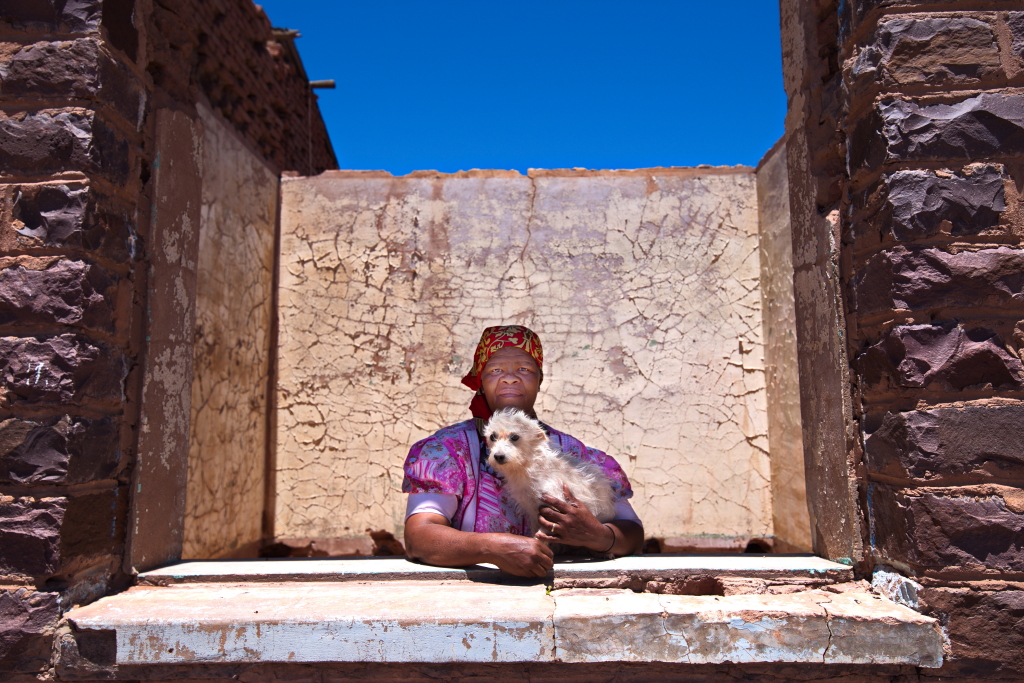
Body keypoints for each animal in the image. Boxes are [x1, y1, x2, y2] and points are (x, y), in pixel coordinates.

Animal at [483, 408, 616, 535]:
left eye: (515, 437)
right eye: (492, 437)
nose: (498, 456)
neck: (528, 468)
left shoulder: (556, 500)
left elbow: (544, 529)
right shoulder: (532, 510)